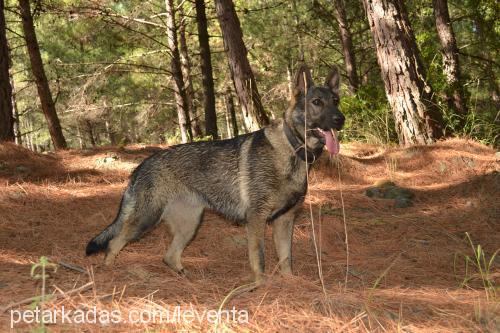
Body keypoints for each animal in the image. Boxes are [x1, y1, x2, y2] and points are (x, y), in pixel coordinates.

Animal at [86, 66, 344, 284]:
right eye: (317, 102)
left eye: (336, 101)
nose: (340, 119)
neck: (292, 150)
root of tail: (141, 165)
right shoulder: (256, 220)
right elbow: (259, 258)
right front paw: (261, 285)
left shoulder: (285, 220)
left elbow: (286, 258)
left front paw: (290, 283)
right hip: (145, 220)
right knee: (114, 242)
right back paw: (108, 273)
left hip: (189, 225)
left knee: (169, 256)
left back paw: (187, 278)